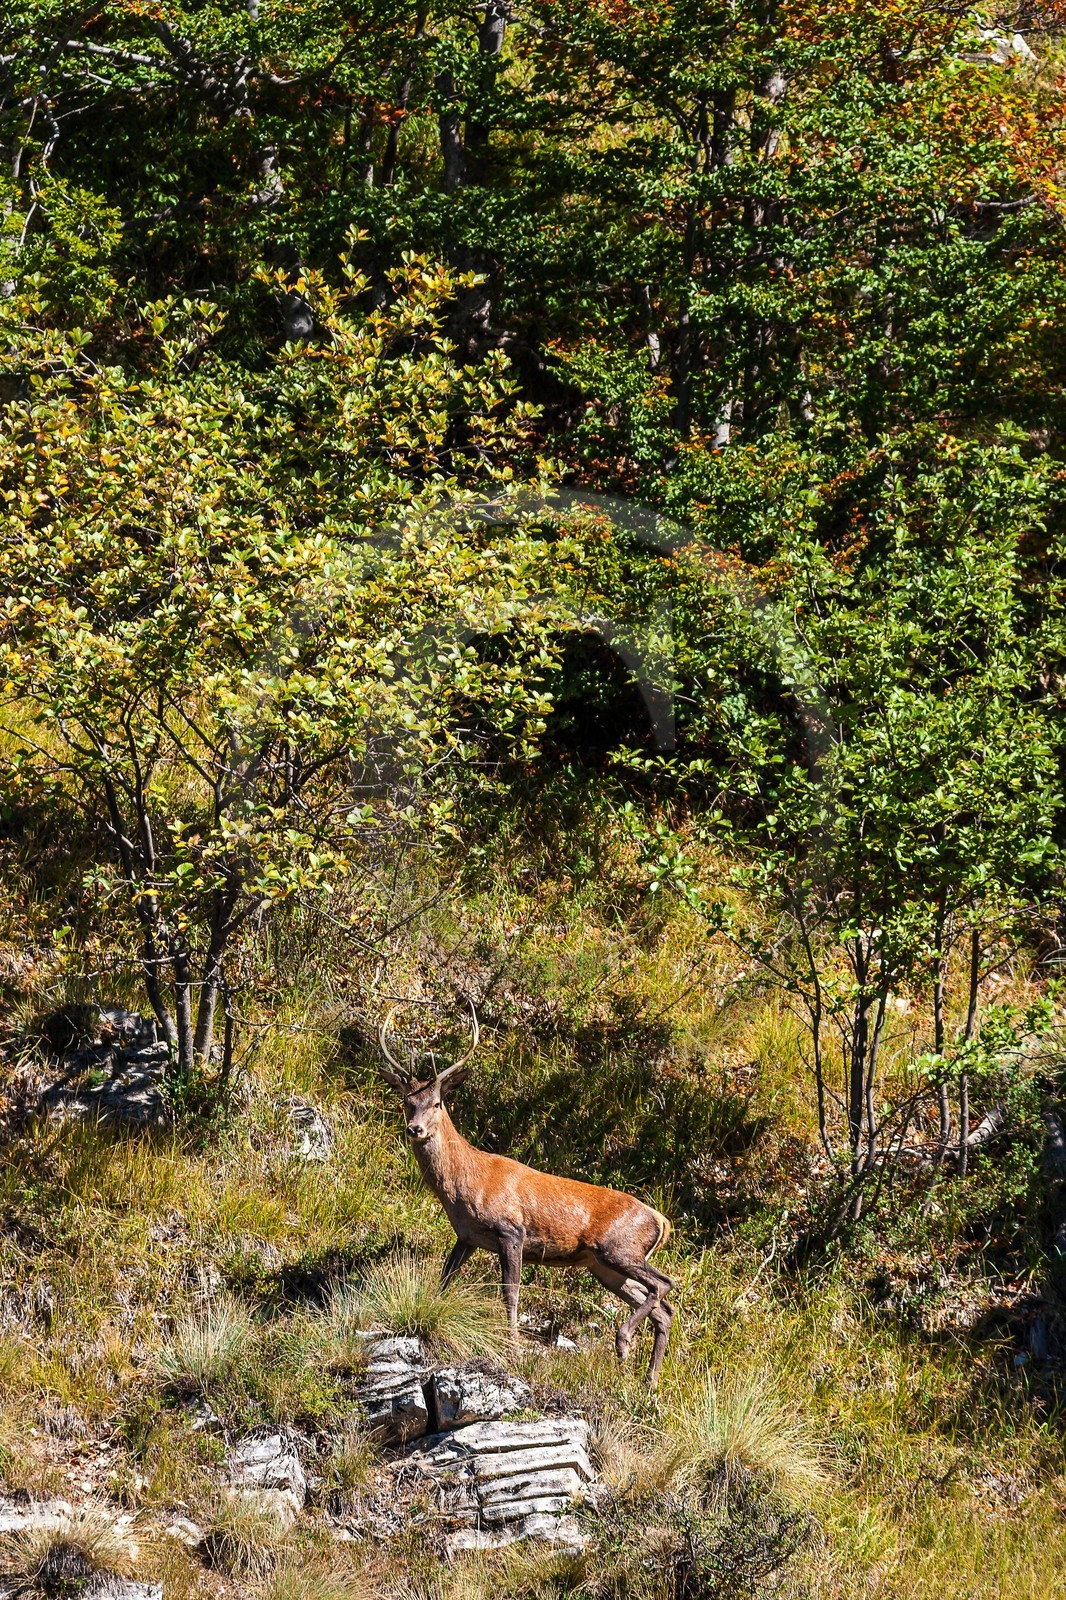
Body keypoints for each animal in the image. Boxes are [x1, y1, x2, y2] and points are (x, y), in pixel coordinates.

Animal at [376, 1003, 676, 1386]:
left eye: (438, 1103)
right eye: (406, 1101)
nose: (414, 1129)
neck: (465, 1185)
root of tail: (661, 1220)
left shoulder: (511, 1230)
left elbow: (511, 1293)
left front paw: (514, 1350)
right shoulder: (467, 1236)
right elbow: (444, 1280)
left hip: (618, 1248)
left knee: (664, 1283)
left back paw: (623, 1343)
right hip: (604, 1266)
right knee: (663, 1308)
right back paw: (648, 1379)